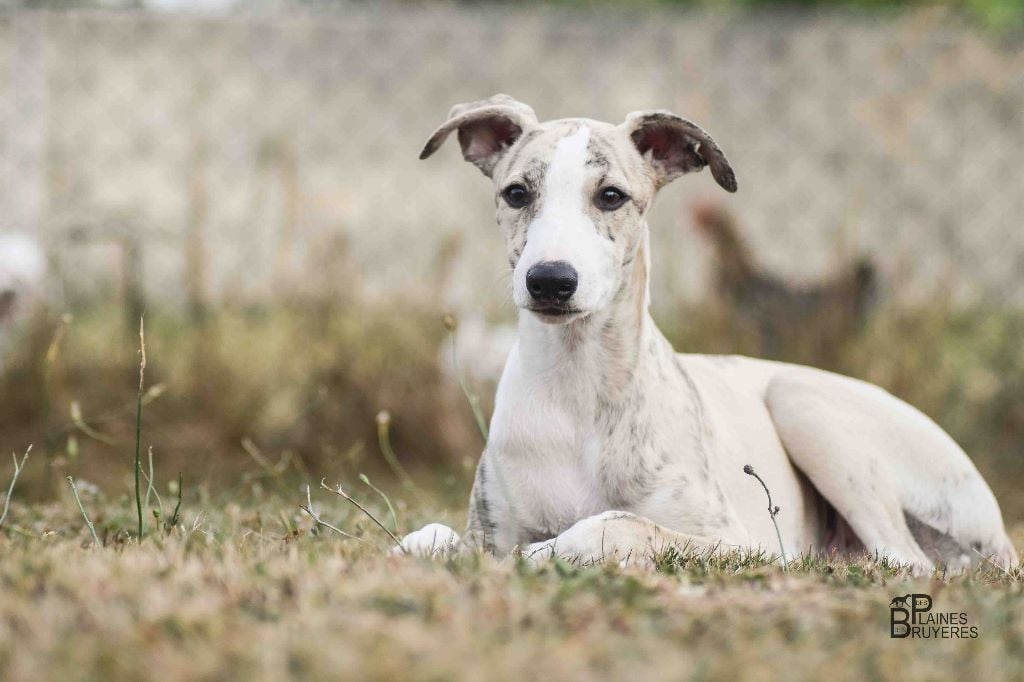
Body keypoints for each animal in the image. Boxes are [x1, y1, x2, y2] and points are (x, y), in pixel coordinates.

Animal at [398, 94, 1017, 572]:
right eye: (517, 193)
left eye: (611, 196)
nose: (550, 281)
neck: (575, 390)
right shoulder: (483, 526)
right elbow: (426, 537)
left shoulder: (735, 543)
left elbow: (615, 524)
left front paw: (543, 553)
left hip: (802, 405)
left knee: (904, 560)